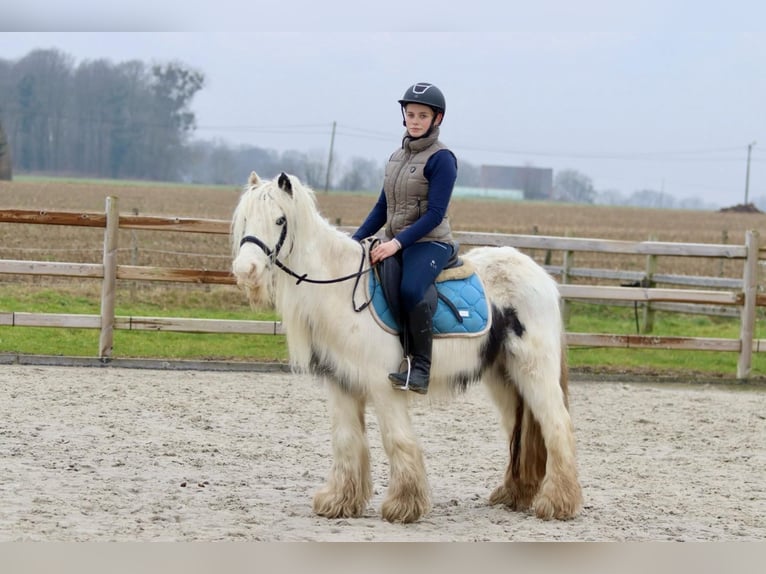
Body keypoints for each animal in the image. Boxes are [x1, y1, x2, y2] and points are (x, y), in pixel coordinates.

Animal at [232, 169, 584, 524]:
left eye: (279, 219)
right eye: (245, 218)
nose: (245, 271)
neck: (341, 290)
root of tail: (541, 277)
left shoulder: (385, 385)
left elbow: (397, 439)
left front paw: (404, 504)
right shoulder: (341, 383)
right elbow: (347, 441)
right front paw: (340, 501)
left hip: (534, 371)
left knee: (557, 425)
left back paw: (558, 502)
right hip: (503, 378)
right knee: (520, 431)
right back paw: (514, 495)